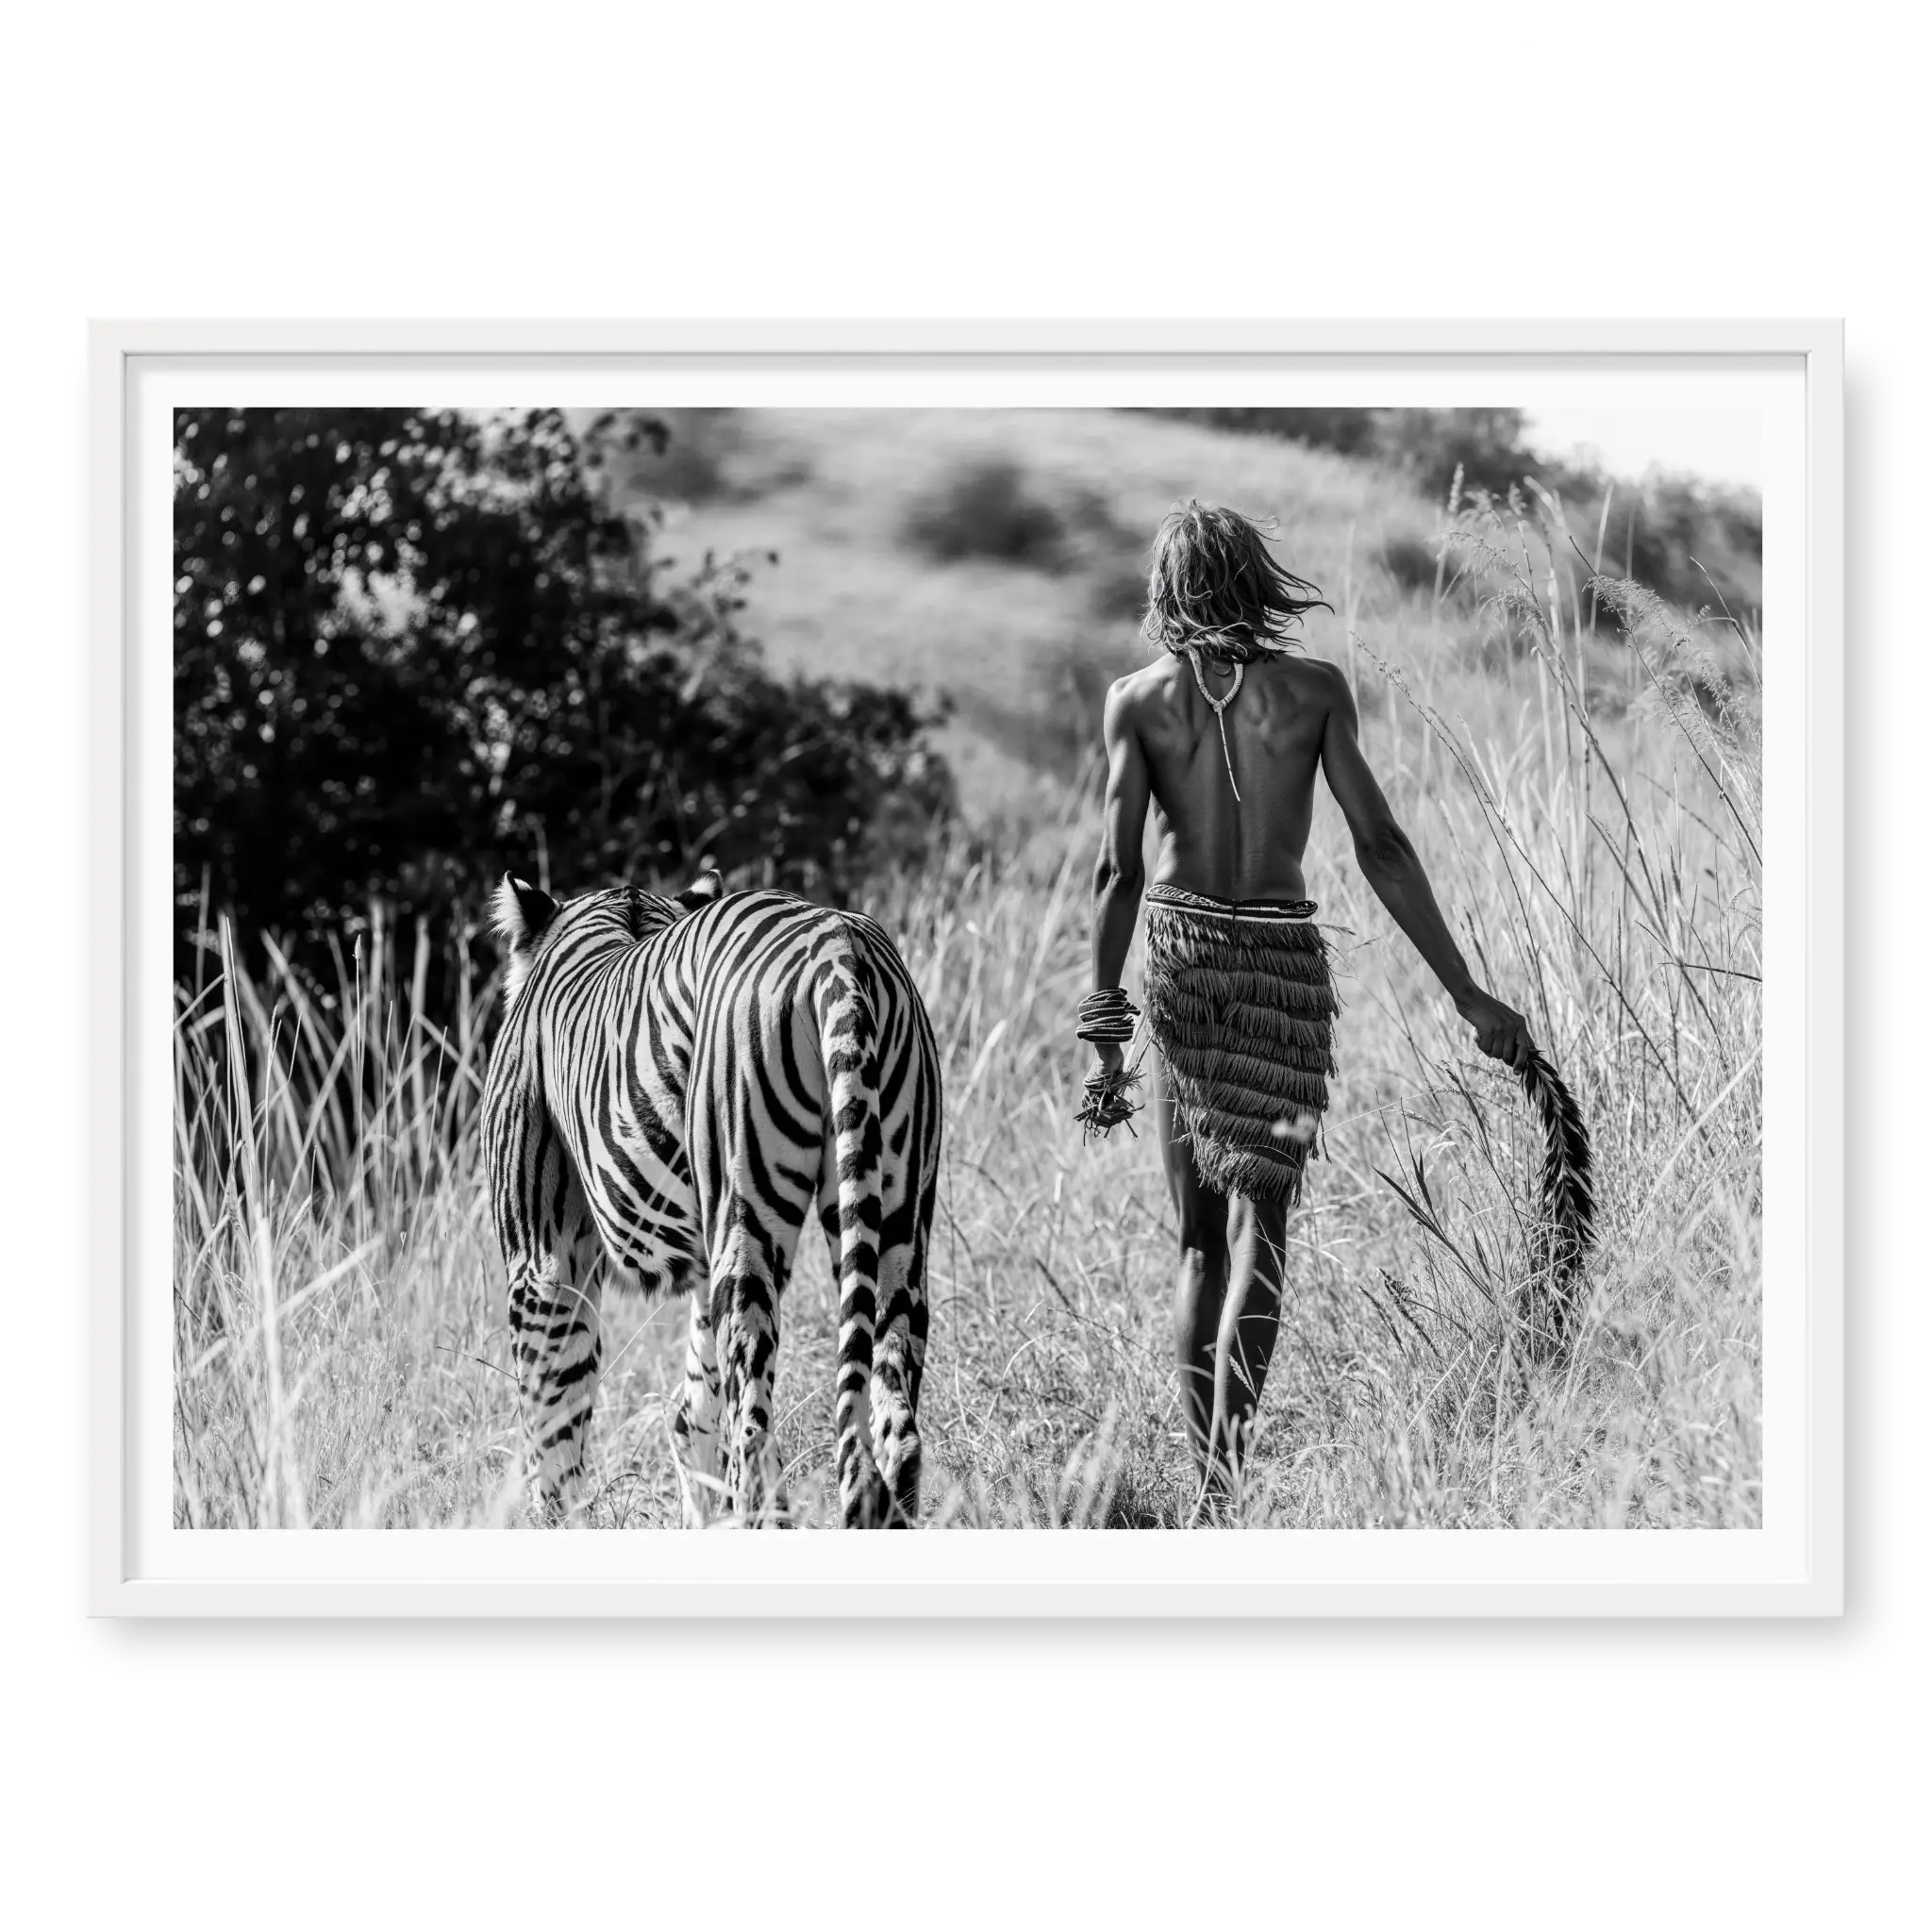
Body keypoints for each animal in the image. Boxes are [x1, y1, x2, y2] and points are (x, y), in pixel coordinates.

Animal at [481, 868, 942, 1530]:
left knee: (754, 1436)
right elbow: (691, 1413)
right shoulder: (698, 1267)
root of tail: (834, 941)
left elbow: (554, 1435)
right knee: (893, 1425)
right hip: (898, 1223)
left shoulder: (542, 1264)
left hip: (746, 1220)